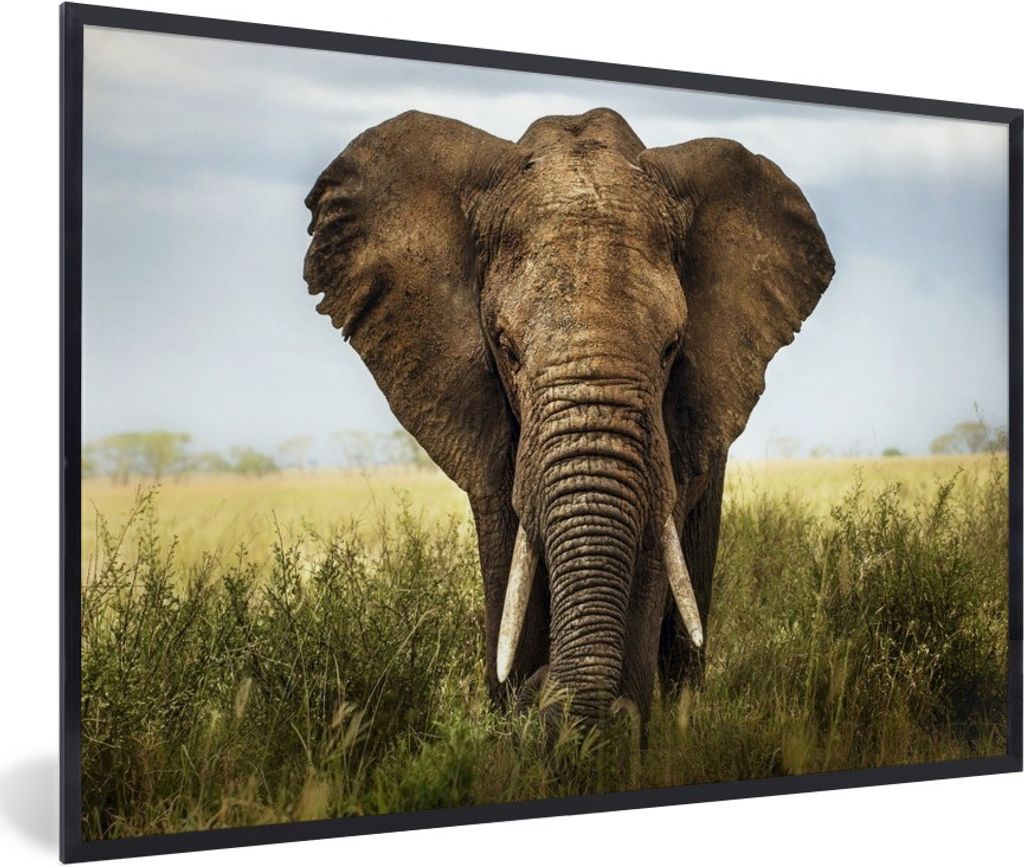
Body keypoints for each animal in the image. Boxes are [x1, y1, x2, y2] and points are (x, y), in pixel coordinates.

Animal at [303, 107, 835, 728]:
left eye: (671, 348)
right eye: (505, 347)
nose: (541, 692)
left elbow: (652, 551)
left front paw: (610, 731)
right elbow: (508, 554)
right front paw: (516, 716)